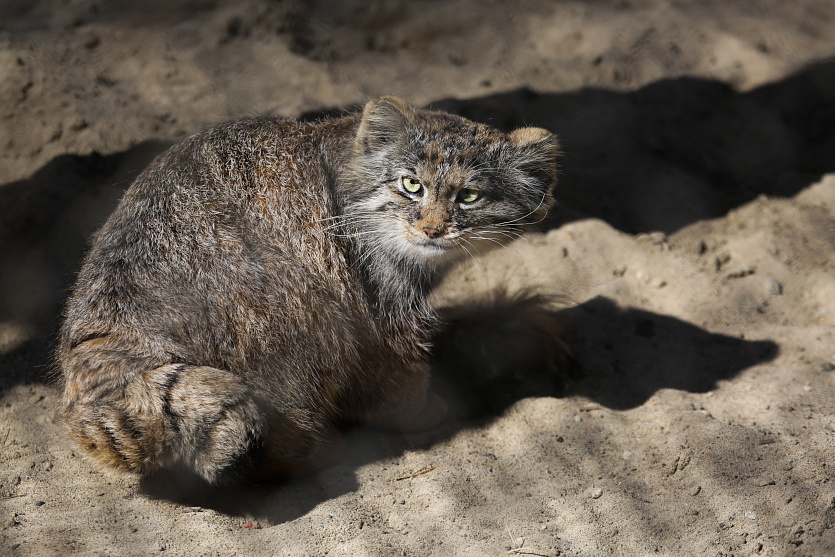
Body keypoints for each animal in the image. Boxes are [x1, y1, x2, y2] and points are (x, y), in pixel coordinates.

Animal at [58, 96, 560, 482]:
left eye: (469, 197)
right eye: (411, 185)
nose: (432, 230)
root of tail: (115, 332)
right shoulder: (377, 305)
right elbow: (399, 370)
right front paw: (420, 411)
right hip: (294, 307)